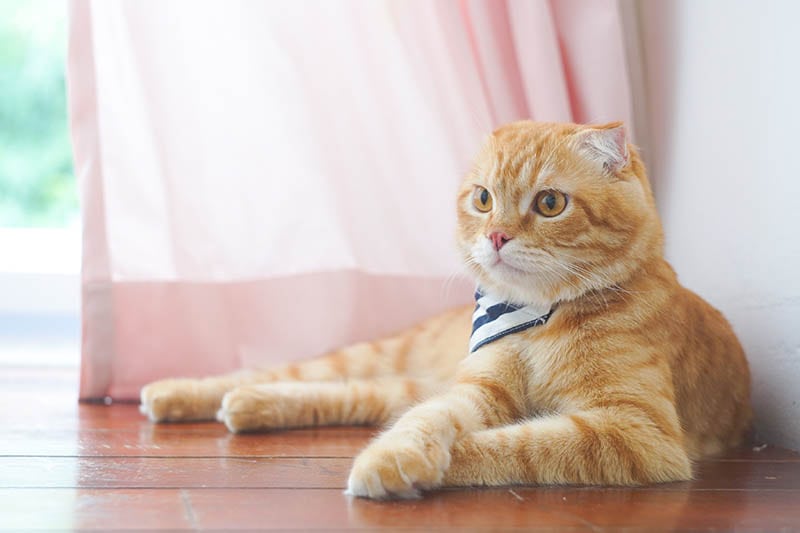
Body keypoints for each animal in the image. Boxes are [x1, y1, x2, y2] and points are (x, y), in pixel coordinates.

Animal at [139, 120, 752, 498]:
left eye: (550, 203)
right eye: (482, 198)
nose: (497, 236)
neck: (537, 320)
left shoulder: (637, 432)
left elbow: (521, 442)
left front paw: (404, 464)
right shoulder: (477, 389)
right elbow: (430, 420)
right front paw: (397, 456)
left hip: (403, 380)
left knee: (354, 394)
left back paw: (250, 405)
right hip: (386, 357)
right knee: (294, 373)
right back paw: (178, 393)